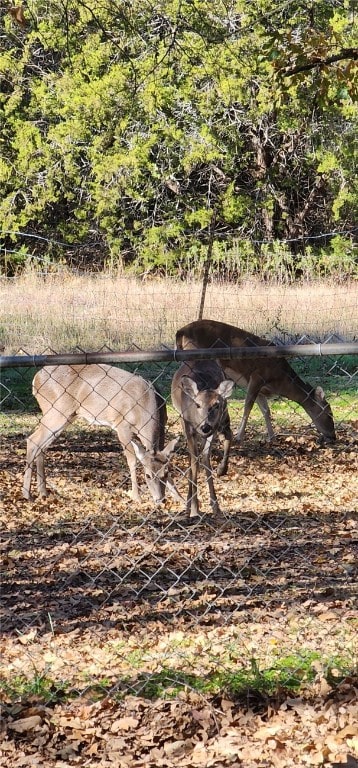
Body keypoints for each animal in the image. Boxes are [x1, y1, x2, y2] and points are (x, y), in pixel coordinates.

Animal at [22, 364, 179, 504]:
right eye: (147, 475)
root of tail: (35, 380)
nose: (160, 499)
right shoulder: (122, 425)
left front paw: (179, 498)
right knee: (33, 440)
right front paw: (136, 496)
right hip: (56, 410)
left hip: (66, 415)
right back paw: (27, 494)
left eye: (166, 473)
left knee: (42, 446)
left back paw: (43, 492)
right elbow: (132, 460)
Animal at [171, 358, 234, 516]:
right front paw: (194, 508)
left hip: (223, 420)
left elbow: (205, 458)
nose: (205, 426)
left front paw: (214, 505)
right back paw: (189, 502)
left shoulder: (215, 427)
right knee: (193, 458)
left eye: (216, 405)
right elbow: (194, 461)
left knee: (226, 437)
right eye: (197, 404)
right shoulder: (188, 426)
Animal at [176, 320, 336, 448]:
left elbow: (266, 411)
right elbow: (248, 407)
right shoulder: (256, 377)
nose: (333, 437)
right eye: (329, 414)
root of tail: (180, 331)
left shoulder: (260, 388)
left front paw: (272, 437)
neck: (278, 380)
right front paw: (239, 437)